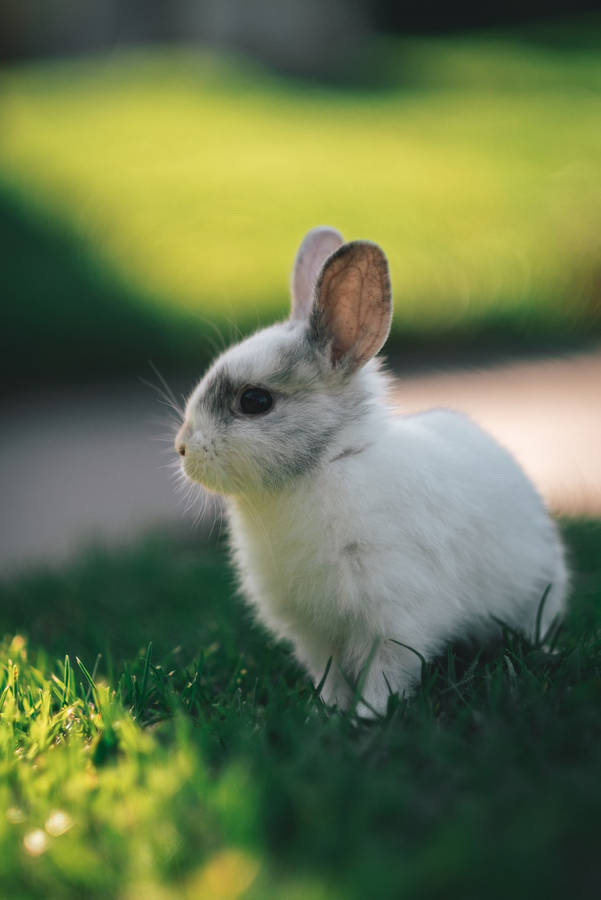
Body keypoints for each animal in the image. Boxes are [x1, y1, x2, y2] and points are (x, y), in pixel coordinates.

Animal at [175, 226, 568, 717]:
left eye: (254, 401)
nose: (182, 448)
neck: (326, 463)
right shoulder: (315, 633)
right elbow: (330, 674)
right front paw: (328, 712)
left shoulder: (393, 617)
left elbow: (385, 673)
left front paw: (369, 716)